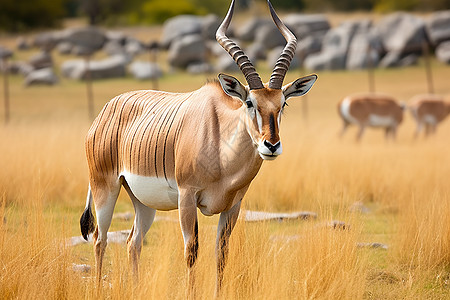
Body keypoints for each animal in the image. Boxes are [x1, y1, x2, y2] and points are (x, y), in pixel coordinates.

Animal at [78, 0, 316, 296]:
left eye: (283, 103)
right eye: (249, 102)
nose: (271, 145)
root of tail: (105, 112)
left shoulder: (233, 206)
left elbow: (221, 252)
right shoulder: (187, 198)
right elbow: (191, 251)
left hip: (143, 202)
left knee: (133, 241)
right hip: (105, 188)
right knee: (100, 238)